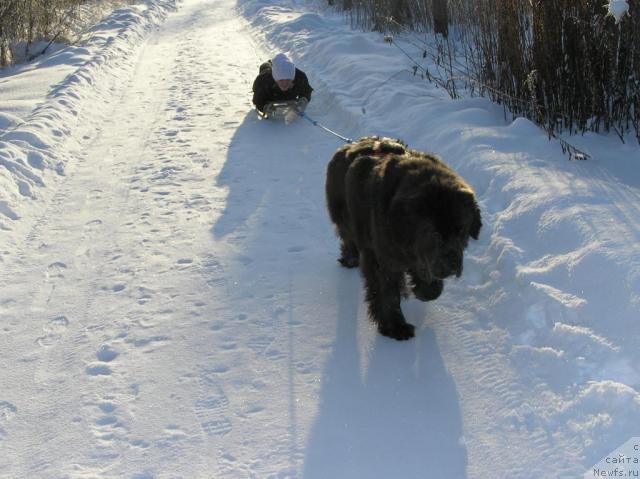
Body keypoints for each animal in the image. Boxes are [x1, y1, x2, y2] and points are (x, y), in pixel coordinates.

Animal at [324, 137, 480, 342]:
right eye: (434, 233)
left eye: (461, 230)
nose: (453, 264)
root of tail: (350, 144)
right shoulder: (381, 258)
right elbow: (387, 293)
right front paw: (396, 327)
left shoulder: (419, 256)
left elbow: (428, 284)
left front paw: (423, 290)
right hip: (344, 217)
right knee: (348, 237)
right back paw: (350, 259)